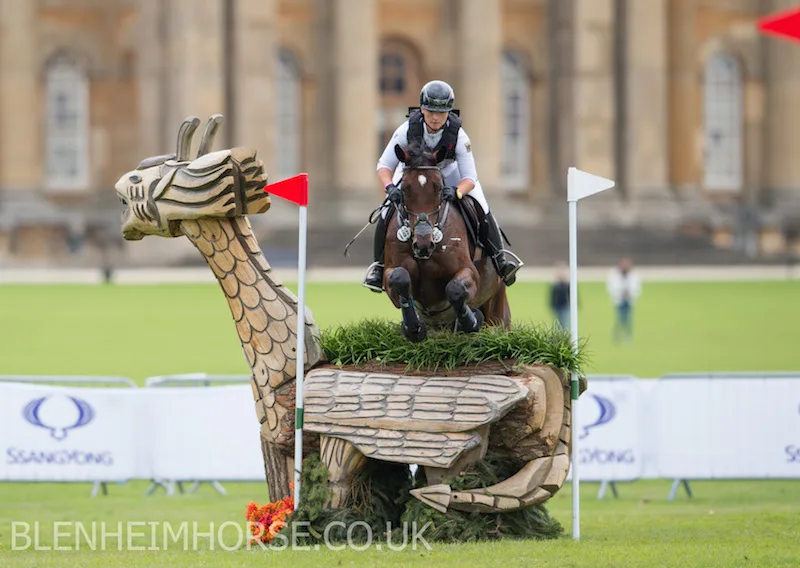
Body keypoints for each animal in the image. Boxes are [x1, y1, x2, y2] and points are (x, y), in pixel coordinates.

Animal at [382, 139, 510, 342]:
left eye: (439, 188)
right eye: (404, 189)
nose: (423, 245)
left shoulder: (469, 272)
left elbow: (455, 289)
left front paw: (471, 322)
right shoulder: (391, 272)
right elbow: (399, 278)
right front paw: (413, 328)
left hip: (498, 313)